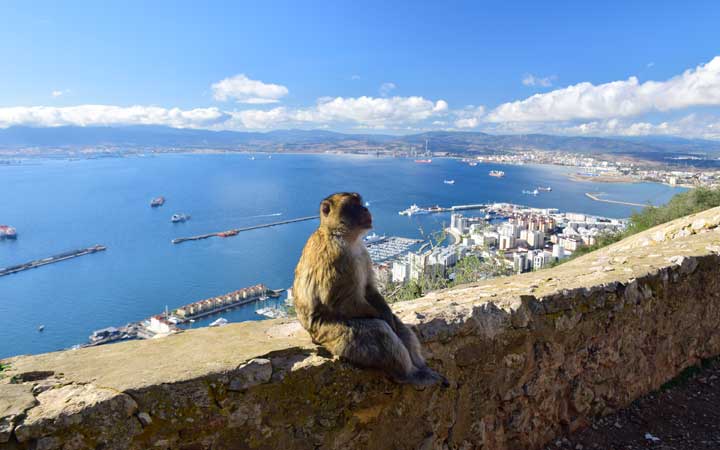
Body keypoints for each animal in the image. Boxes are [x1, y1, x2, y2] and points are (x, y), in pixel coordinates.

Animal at [292, 192, 444, 384]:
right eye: (352, 205)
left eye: (359, 201)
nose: (365, 209)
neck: (343, 236)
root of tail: (313, 336)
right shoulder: (337, 257)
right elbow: (342, 303)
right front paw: (382, 317)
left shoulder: (364, 253)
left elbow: (369, 290)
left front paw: (387, 313)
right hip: (332, 334)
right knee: (379, 331)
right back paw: (410, 374)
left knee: (401, 330)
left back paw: (420, 366)